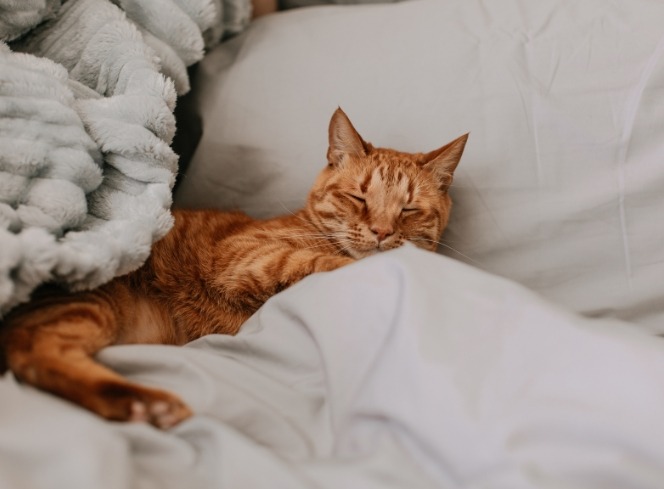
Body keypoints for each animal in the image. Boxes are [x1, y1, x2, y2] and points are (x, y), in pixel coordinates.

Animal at [1, 107, 466, 428]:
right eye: (359, 198)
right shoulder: (243, 256)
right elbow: (320, 261)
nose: (383, 232)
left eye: (408, 209)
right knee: (33, 353)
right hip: (91, 303)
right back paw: (145, 403)